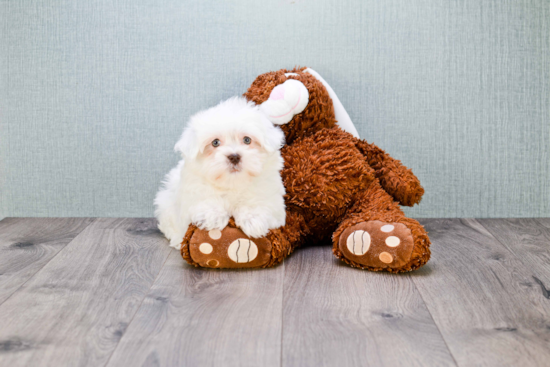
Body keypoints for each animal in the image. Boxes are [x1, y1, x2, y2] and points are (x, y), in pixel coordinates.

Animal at [154, 97, 286, 250]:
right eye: (215, 142)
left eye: (247, 140)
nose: (234, 156)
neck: (232, 183)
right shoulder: (193, 189)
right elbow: (205, 199)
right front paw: (213, 216)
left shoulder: (272, 199)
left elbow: (258, 202)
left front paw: (253, 219)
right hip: (166, 203)